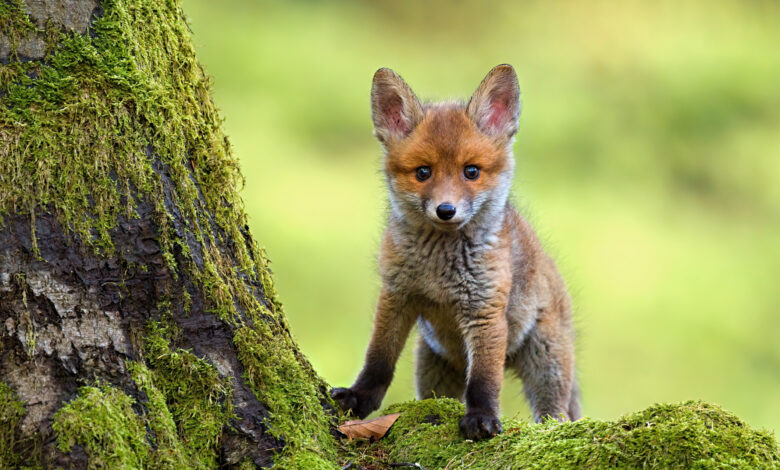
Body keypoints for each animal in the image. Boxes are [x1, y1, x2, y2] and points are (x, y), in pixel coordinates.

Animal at [330, 64, 580, 440]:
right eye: (423, 172)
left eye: (471, 171)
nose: (446, 210)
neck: (438, 271)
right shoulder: (396, 295)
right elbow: (378, 359)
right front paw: (359, 397)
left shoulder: (485, 310)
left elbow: (484, 380)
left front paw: (482, 418)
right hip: (431, 367)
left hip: (545, 362)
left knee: (556, 413)